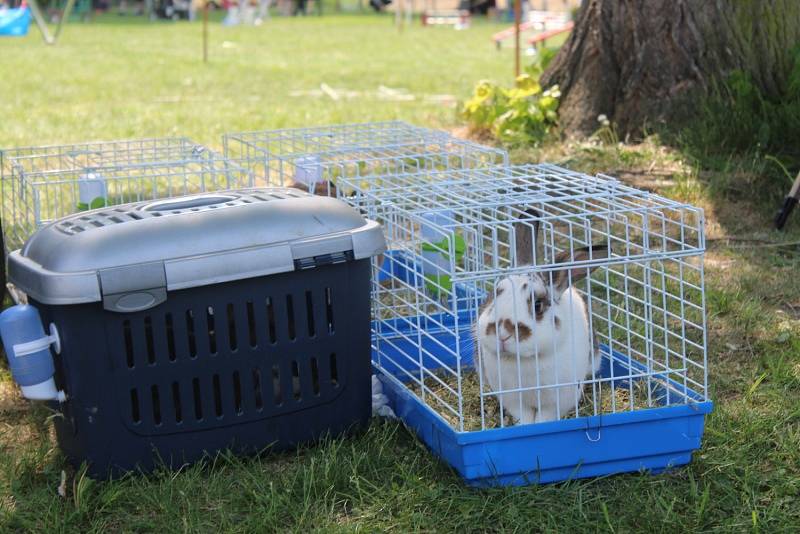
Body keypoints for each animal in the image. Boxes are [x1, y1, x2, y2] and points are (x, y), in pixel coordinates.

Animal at [478, 247, 608, 428]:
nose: (502, 333)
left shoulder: (557, 401)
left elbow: (544, 418)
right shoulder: (513, 399)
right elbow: (523, 417)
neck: (524, 360)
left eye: (537, 305)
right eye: (493, 296)